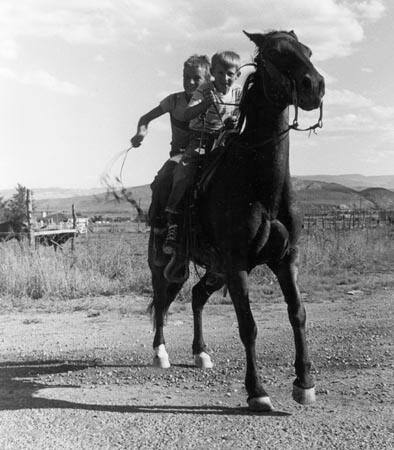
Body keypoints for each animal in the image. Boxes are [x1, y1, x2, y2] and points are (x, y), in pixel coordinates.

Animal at [146, 29, 324, 412]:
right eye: (275, 52)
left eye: (307, 50)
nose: (314, 85)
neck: (261, 185)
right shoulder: (237, 263)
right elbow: (248, 326)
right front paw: (257, 391)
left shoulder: (286, 260)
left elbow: (298, 314)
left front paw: (304, 383)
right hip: (167, 262)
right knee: (162, 300)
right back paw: (160, 352)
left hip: (215, 269)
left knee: (196, 295)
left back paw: (200, 353)